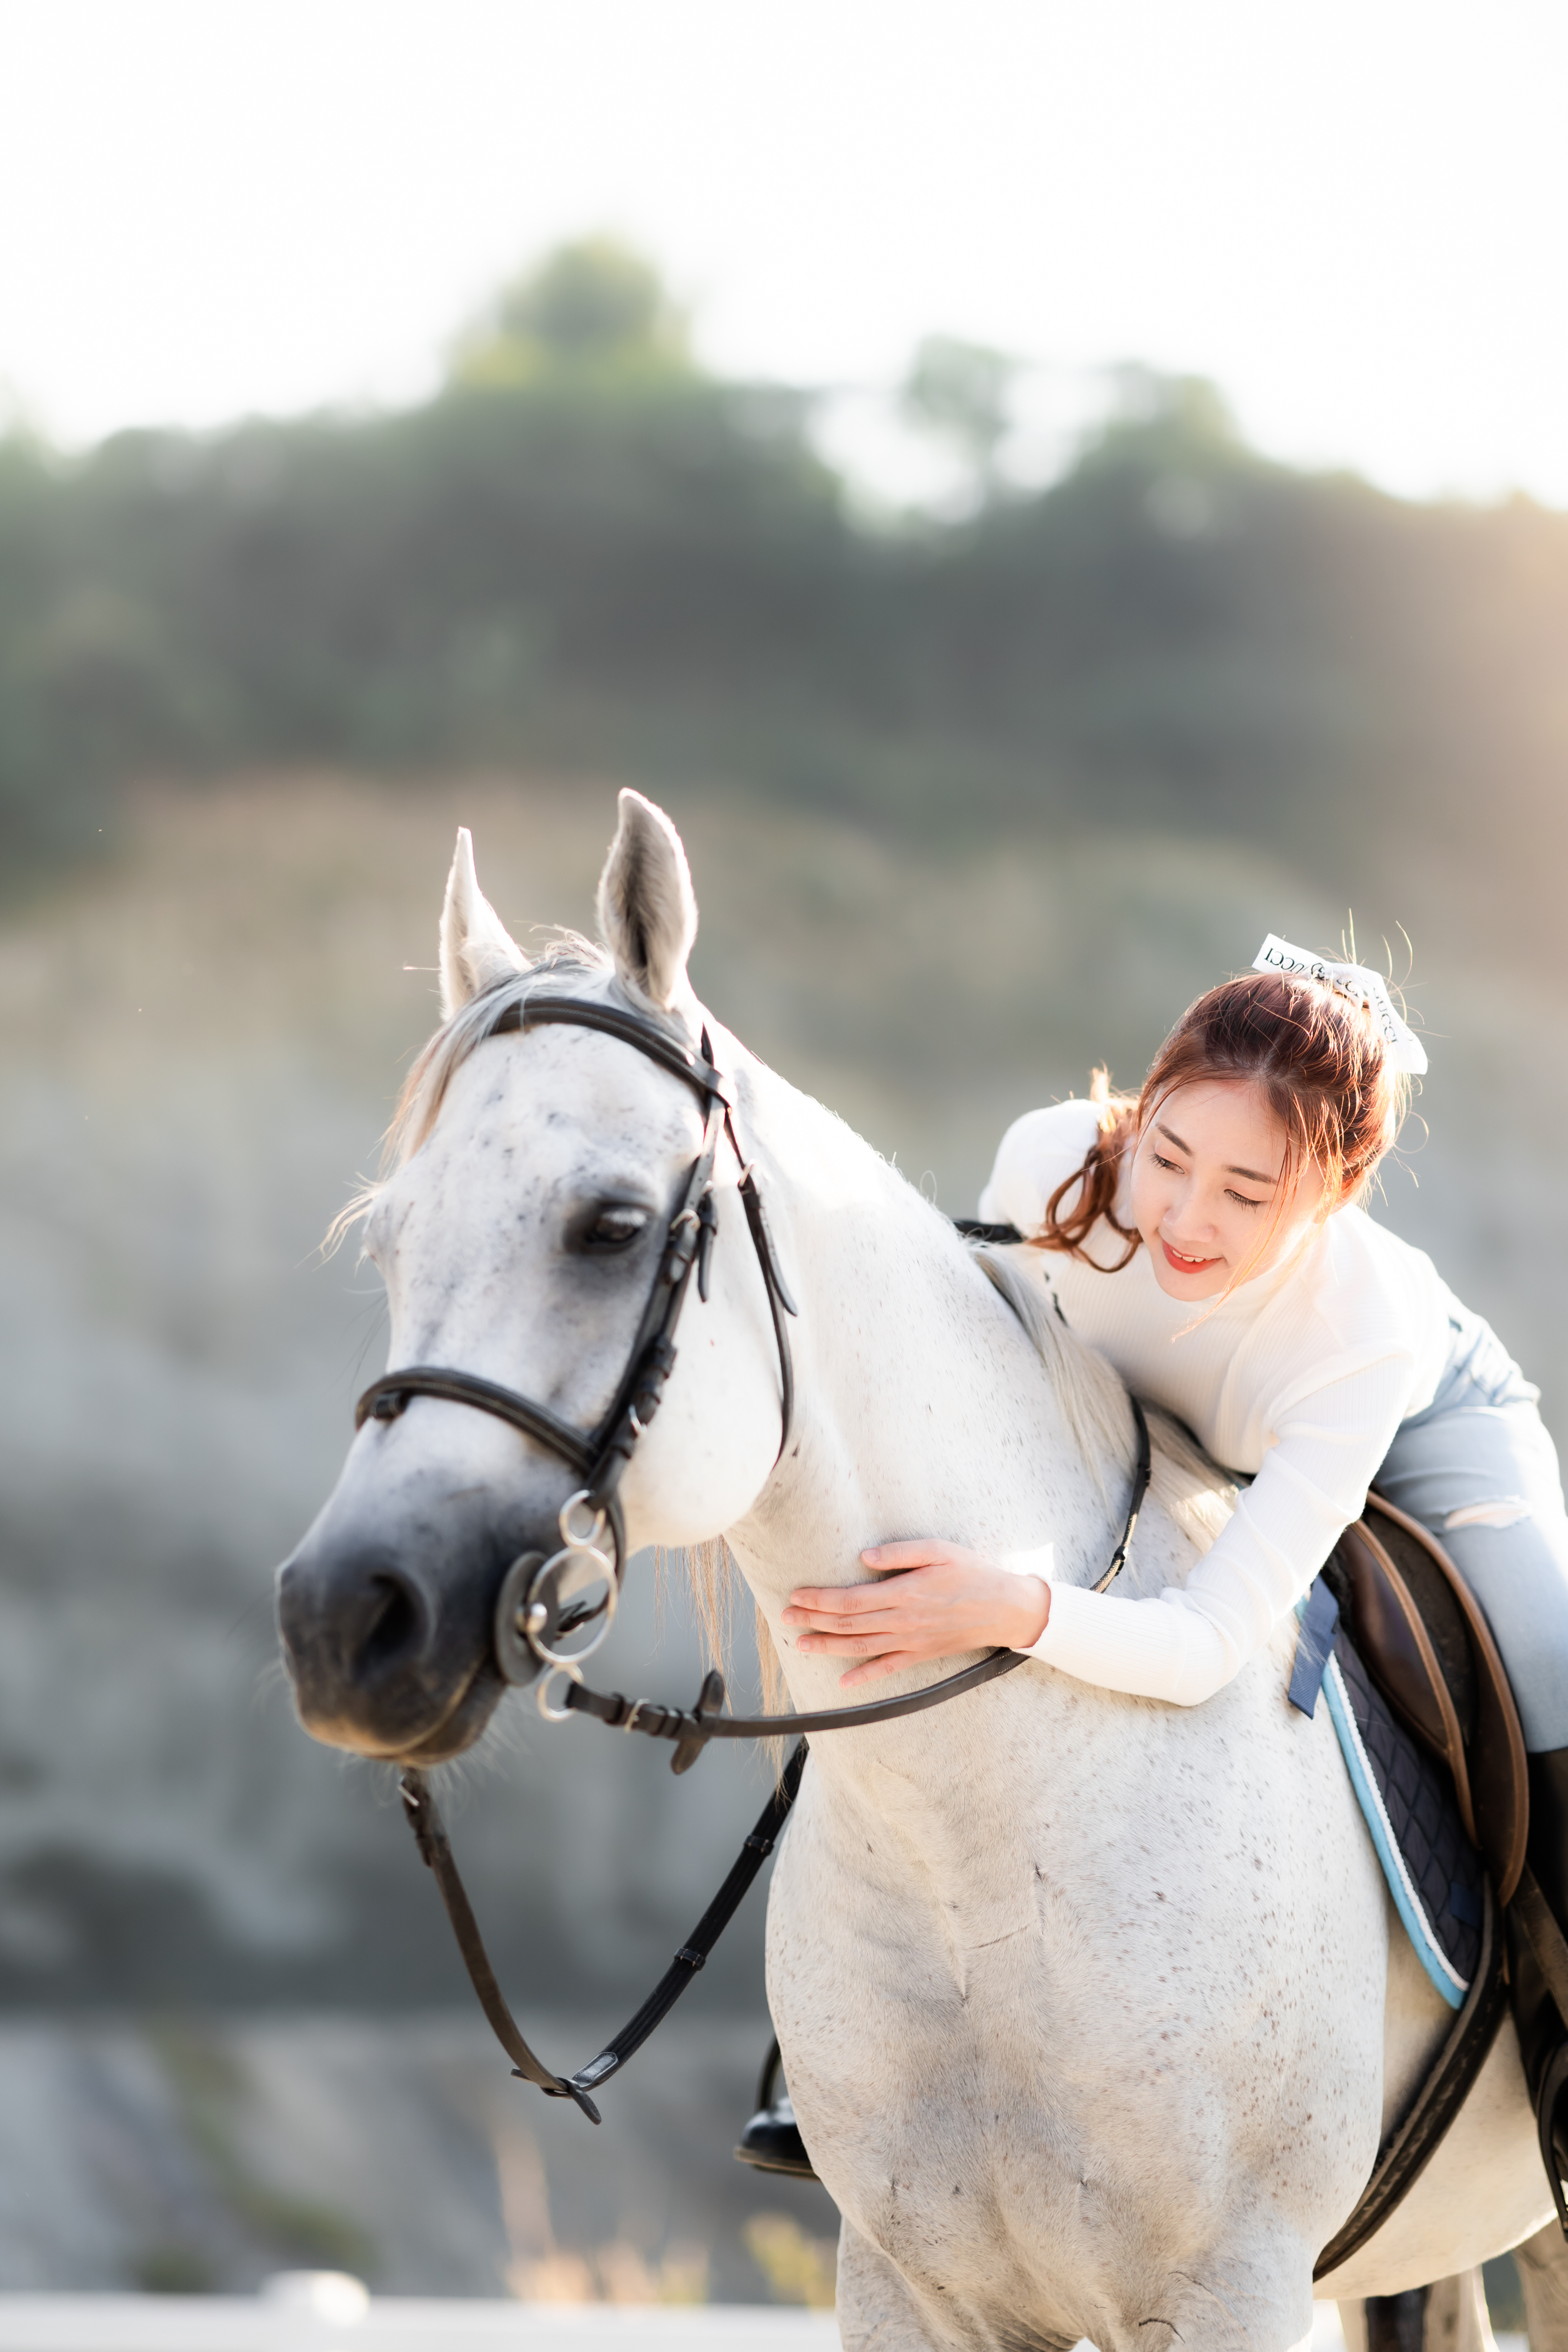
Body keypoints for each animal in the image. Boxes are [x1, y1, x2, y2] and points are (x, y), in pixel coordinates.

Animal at [277, 788, 1568, 2351]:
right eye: (393, 1240)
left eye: (613, 1226)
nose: (347, 1620)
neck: (992, 1838)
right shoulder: (910, 2287)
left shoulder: (1235, 2290)